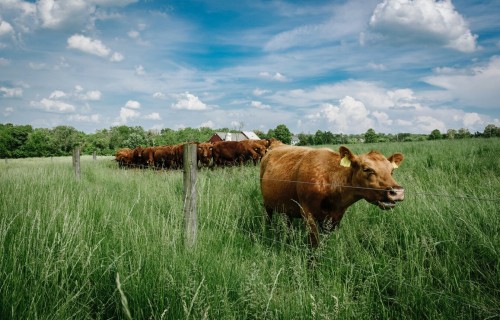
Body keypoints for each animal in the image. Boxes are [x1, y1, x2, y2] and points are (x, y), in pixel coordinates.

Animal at [260, 145, 404, 248]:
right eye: (367, 169)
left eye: (392, 170)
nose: (397, 191)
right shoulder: (307, 213)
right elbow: (314, 243)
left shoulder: (336, 216)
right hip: (267, 203)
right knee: (268, 216)